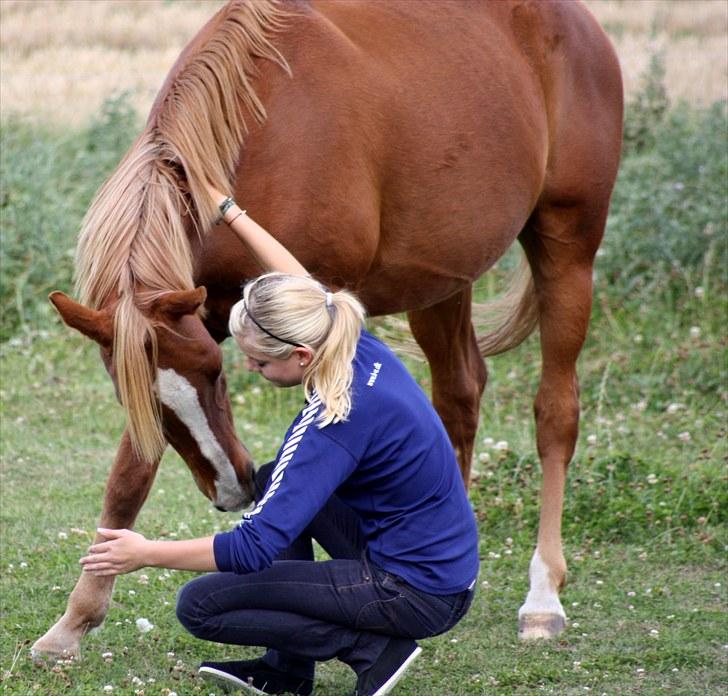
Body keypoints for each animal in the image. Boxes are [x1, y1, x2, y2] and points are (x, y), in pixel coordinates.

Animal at [32, 0, 622, 659]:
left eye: (217, 375)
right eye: (156, 402)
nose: (234, 489)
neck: (265, 128)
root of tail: (582, 28)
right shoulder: (186, 323)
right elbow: (130, 474)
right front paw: (74, 619)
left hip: (567, 246)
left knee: (555, 414)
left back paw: (543, 596)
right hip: (443, 280)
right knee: (460, 395)